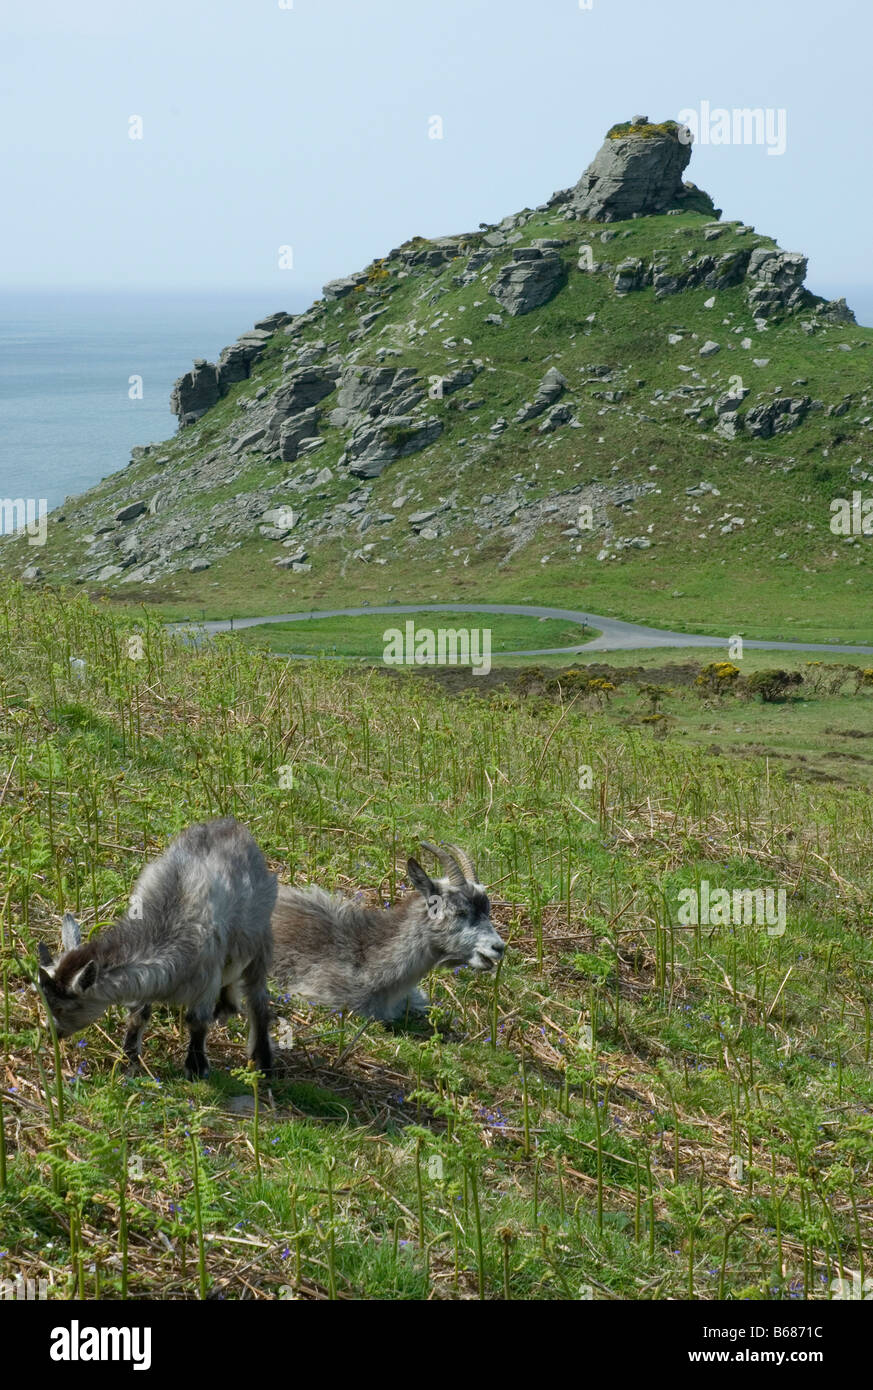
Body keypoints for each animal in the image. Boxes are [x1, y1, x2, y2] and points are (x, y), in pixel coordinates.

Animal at [36, 817, 276, 1078]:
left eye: (62, 1008)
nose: (50, 1032)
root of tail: (233, 825)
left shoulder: (207, 976)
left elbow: (197, 1021)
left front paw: (196, 1067)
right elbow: (139, 1014)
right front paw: (129, 1057)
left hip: (260, 939)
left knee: (257, 999)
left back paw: (263, 1060)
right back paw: (226, 1009)